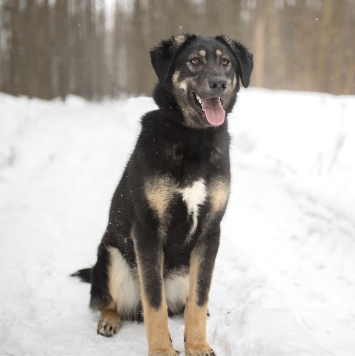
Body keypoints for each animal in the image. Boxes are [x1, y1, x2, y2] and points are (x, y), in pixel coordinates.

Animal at [73, 34, 253, 356]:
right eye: (194, 61)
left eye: (225, 62)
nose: (219, 83)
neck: (193, 137)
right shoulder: (147, 230)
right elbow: (154, 303)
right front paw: (161, 350)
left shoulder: (210, 232)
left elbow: (199, 299)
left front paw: (197, 344)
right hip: (111, 258)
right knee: (109, 302)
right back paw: (109, 320)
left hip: (183, 273)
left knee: (185, 304)